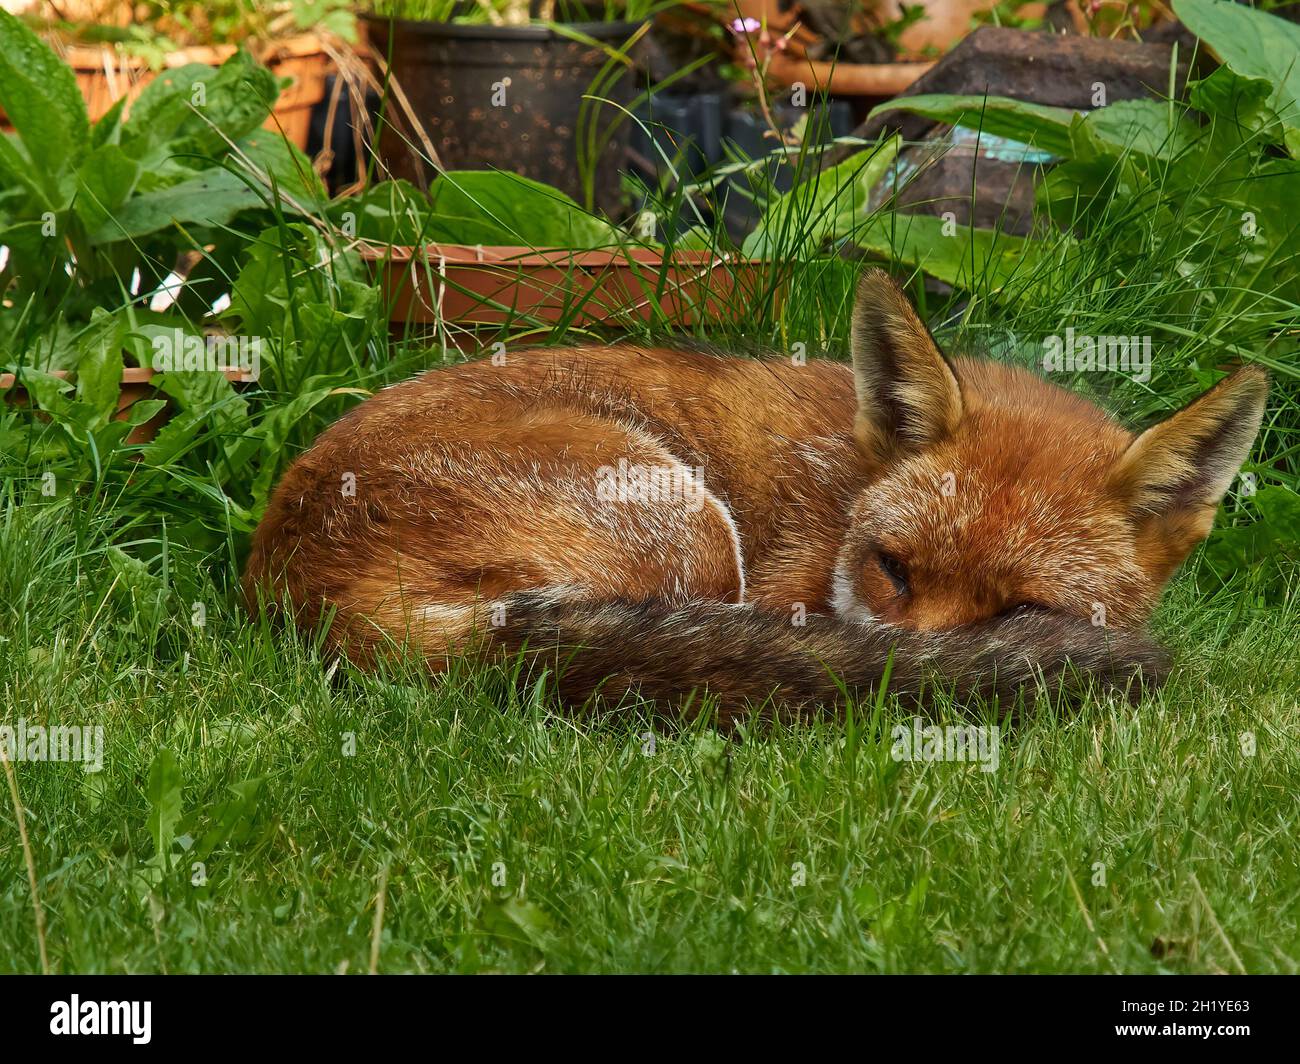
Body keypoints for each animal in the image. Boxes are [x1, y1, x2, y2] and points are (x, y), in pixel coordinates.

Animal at [244, 269, 1268, 721]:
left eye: (1022, 609)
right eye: (892, 568)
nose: (918, 679)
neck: (843, 489)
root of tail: (297, 586)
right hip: (689, 530)